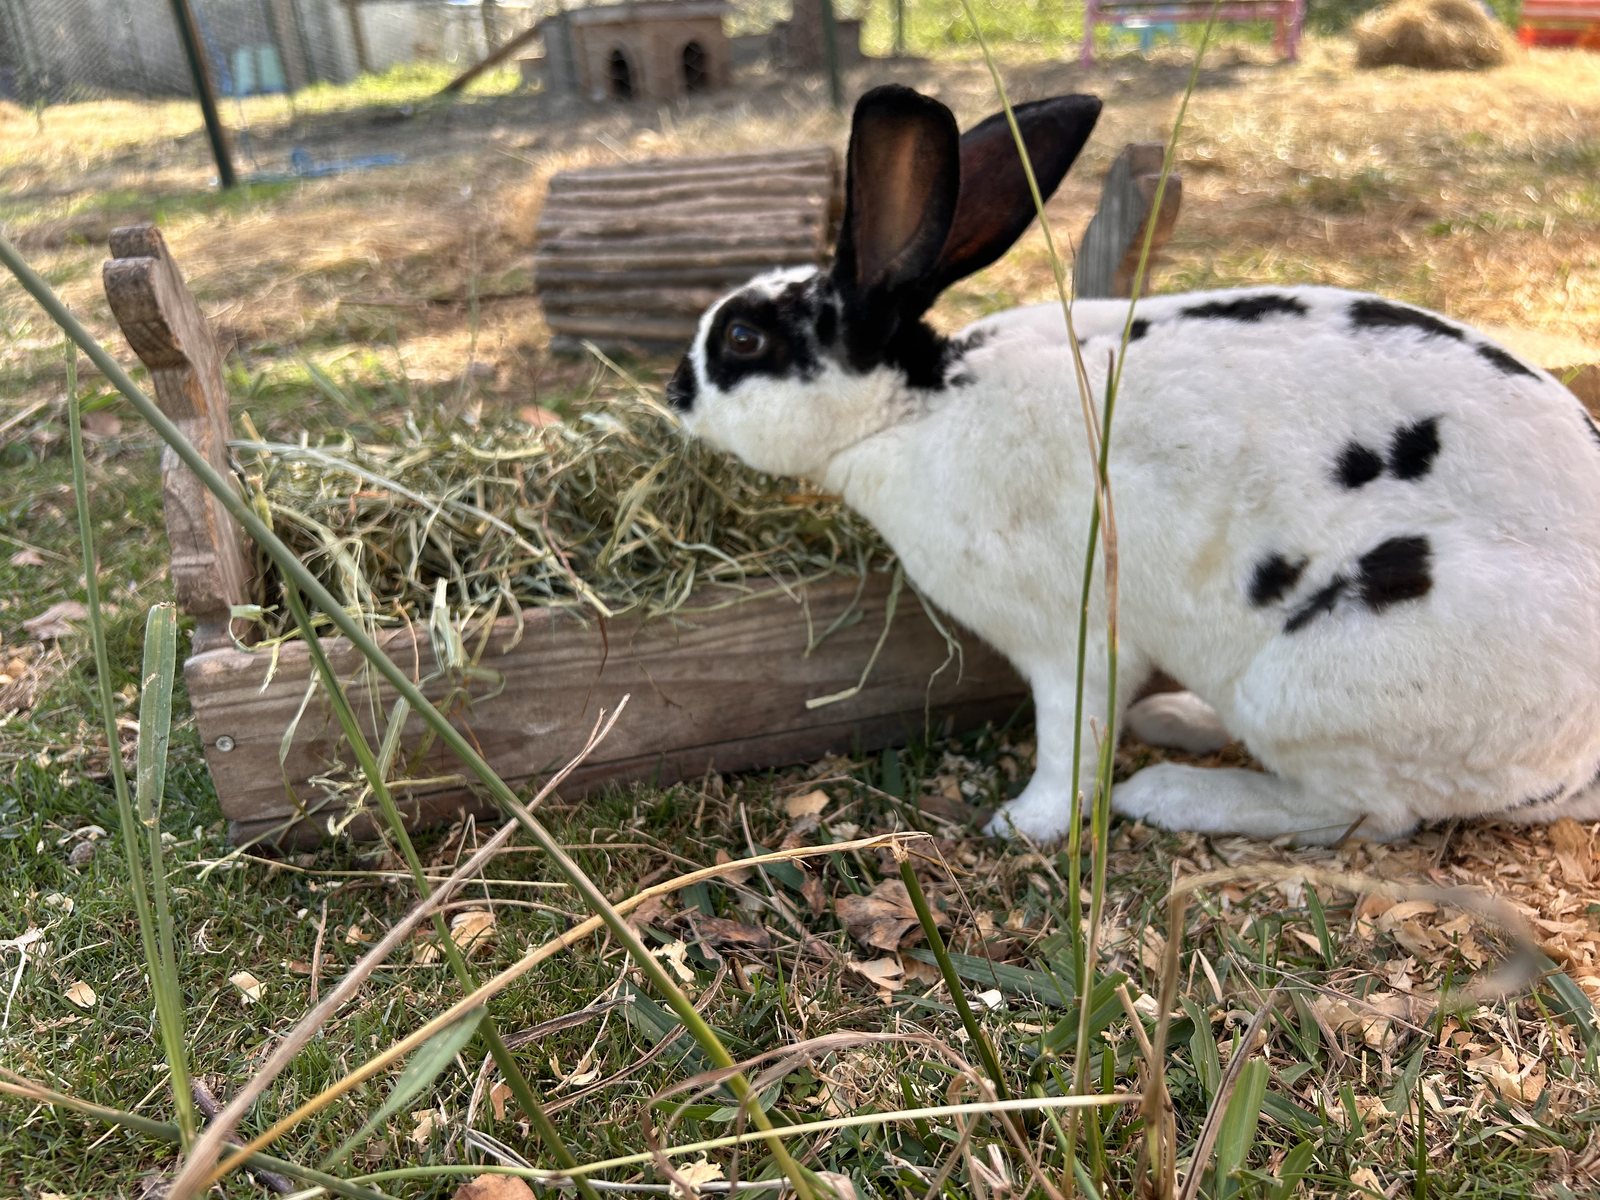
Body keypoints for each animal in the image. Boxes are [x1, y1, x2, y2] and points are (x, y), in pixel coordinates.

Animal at [665, 83, 1600, 845]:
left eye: (741, 338)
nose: (674, 393)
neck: (917, 405)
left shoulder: (1069, 643)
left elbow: (1069, 747)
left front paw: (1024, 823)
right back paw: (1178, 720)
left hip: (1316, 680)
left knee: (1368, 811)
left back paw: (1166, 792)